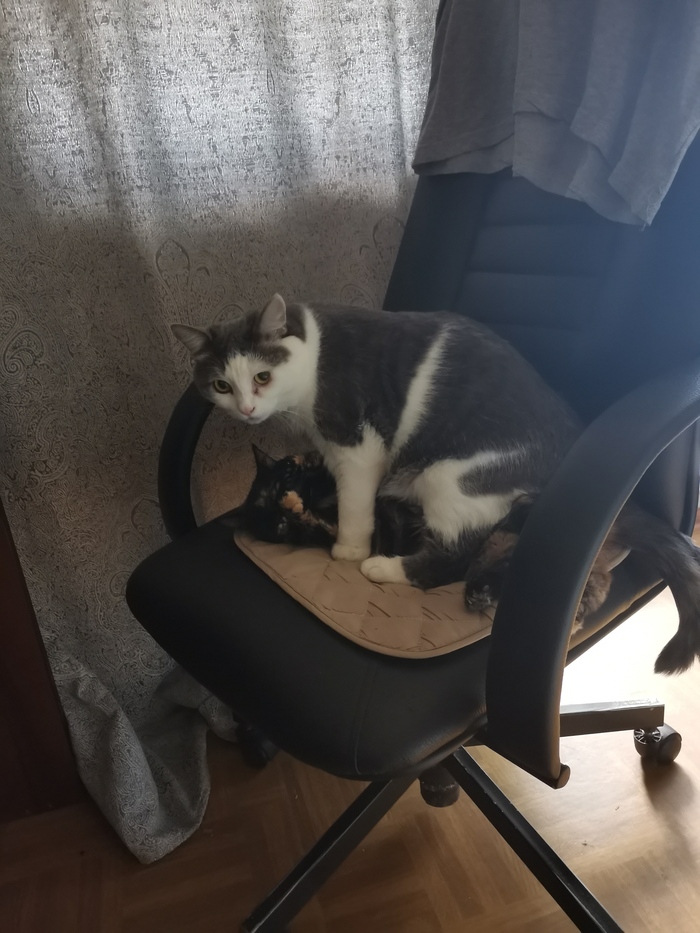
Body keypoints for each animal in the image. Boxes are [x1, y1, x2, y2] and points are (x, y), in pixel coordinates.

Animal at [172, 294, 700, 674]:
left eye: (262, 376)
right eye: (221, 385)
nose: (246, 409)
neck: (310, 361)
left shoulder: (357, 445)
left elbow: (355, 503)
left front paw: (349, 549)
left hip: (452, 477)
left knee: (452, 558)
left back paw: (386, 569)